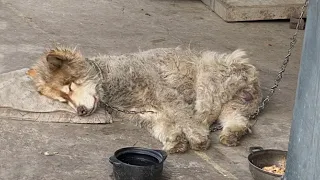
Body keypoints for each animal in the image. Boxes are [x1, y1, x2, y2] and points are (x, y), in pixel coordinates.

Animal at [27, 46, 262, 153]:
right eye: (63, 100)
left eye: (70, 85)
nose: (80, 112)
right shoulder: (147, 114)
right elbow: (163, 127)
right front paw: (175, 141)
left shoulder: (162, 92)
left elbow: (182, 115)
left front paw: (195, 136)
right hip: (234, 103)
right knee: (237, 119)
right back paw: (232, 133)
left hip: (210, 79)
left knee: (205, 112)